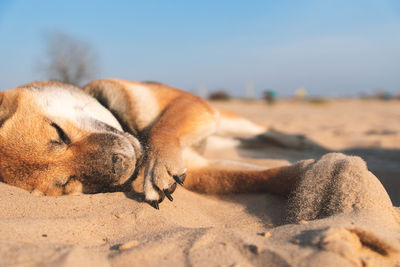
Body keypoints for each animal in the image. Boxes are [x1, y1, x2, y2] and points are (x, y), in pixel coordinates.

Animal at [0, 79, 306, 209]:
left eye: (59, 133)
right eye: (67, 183)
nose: (119, 166)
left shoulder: (187, 103)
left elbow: (164, 127)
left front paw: (159, 165)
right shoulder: (198, 169)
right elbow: (262, 177)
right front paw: (306, 180)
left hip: (219, 116)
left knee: (261, 130)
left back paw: (297, 138)